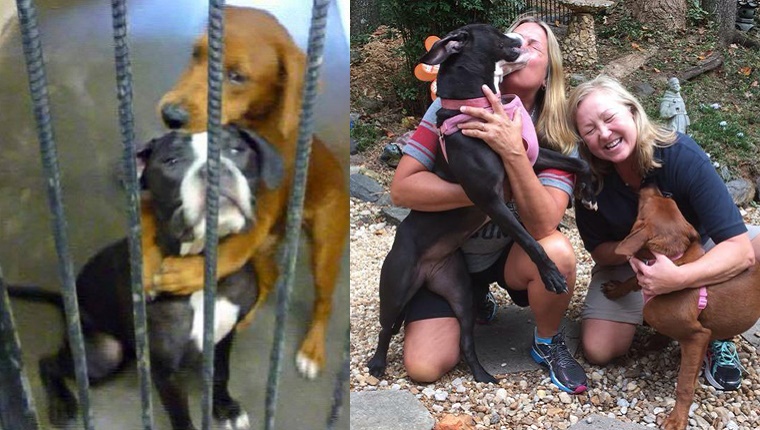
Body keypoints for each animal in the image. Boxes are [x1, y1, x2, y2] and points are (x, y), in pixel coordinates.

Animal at [9, 122, 282, 428]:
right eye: (171, 161)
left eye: (236, 149)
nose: (215, 167)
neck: (198, 268)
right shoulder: (165, 372)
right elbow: (180, 414)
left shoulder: (225, 336)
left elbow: (221, 374)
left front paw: (226, 408)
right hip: (103, 354)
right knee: (48, 362)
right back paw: (60, 404)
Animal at [140, 5, 348, 378]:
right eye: (196, 54)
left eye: (236, 77)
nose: (170, 115)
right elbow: (147, 212)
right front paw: (146, 262)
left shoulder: (257, 214)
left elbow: (230, 253)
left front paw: (187, 274)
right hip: (266, 250)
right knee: (272, 277)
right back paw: (246, 315)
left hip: (324, 245)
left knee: (324, 302)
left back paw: (312, 350)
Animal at [368, 24, 600, 382]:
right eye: (497, 33)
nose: (522, 38)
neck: (481, 104)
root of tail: (428, 272)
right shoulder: (489, 198)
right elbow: (528, 239)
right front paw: (550, 273)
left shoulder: (526, 157)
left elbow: (575, 162)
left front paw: (587, 192)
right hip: (396, 288)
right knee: (385, 328)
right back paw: (377, 364)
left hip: (459, 293)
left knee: (465, 340)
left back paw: (482, 374)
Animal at [600, 183, 760, 428]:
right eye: (667, 200)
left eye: (645, 205)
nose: (650, 183)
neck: (675, 260)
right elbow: (633, 279)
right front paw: (616, 290)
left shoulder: (697, 337)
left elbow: (684, 385)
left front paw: (677, 419)